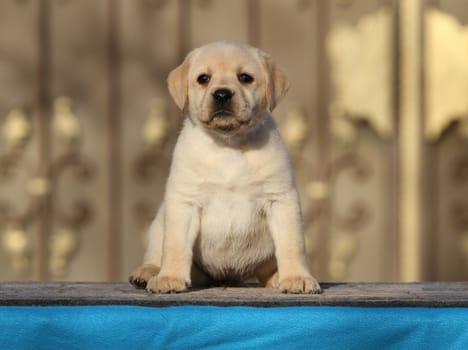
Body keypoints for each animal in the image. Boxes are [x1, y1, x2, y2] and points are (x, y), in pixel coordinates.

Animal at [129, 40, 322, 292]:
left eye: (245, 78)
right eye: (203, 78)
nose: (222, 94)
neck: (228, 144)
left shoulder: (280, 199)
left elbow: (292, 245)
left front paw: (297, 277)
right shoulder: (184, 202)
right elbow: (175, 246)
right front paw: (169, 277)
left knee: (267, 269)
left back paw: (277, 277)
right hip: (158, 225)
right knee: (155, 253)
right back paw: (148, 273)